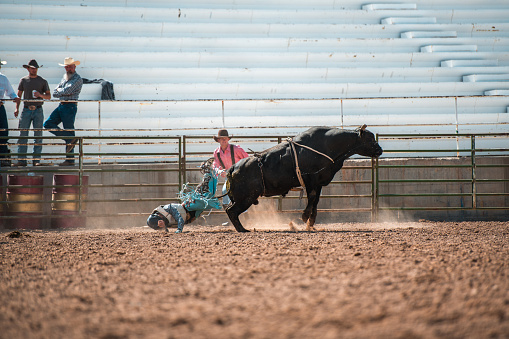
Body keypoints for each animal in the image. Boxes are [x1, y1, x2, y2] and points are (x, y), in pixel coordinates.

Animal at [224, 125, 382, 234]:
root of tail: (234, 167)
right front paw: (305, 217)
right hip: (246, 197)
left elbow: (315, 201)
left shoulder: (318, 183)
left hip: (242, 197)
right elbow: (311, 198)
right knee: (231, 211)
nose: (380, 150)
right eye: (369, 139)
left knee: (230, 210)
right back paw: (242, 229)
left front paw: (311, 223)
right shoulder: (311, 180)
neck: (327, 145)